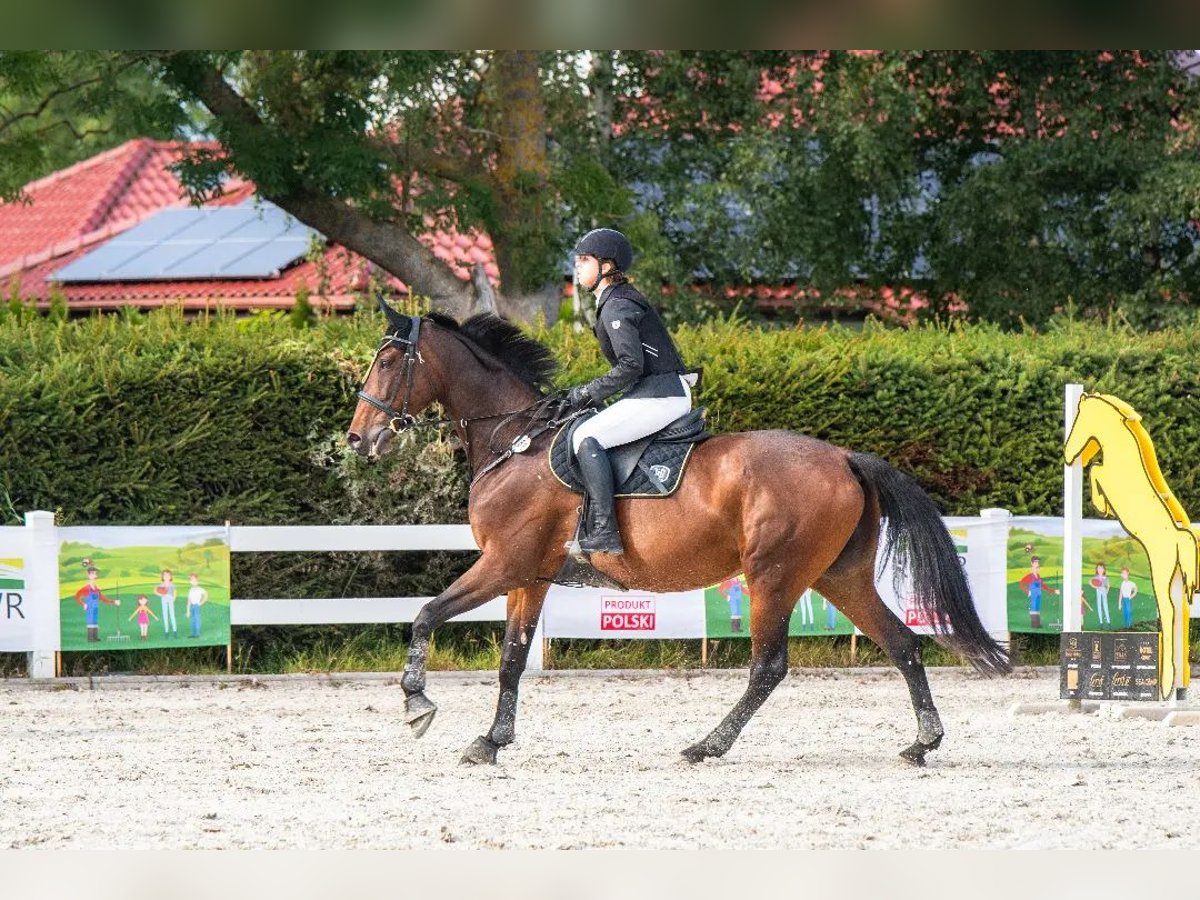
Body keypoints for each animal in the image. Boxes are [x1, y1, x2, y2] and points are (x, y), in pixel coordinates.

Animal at [347, 302, 1011, 766]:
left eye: (387, 362)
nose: (359, 439)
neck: (516, 440)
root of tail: (845, 457)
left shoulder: (504, 565)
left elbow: (426, 615)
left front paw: (417, 704)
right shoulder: (528, 577)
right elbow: (511, 659)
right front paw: (490, 741)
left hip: (774, 575)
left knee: (769, 667)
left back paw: (706, 746)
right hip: (837, 574)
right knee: (902, 643)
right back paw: (923, 742)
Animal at [1063, 392, 1197, 699]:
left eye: (1078, 421)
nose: (1066, 454)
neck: (1119, 449)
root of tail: (1178, 537)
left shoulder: (1105, 475)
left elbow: (1095, 471)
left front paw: (1102, 506)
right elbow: (1095, 469)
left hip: (1160, 571)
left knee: (1169, 611)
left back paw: (1166, 684)